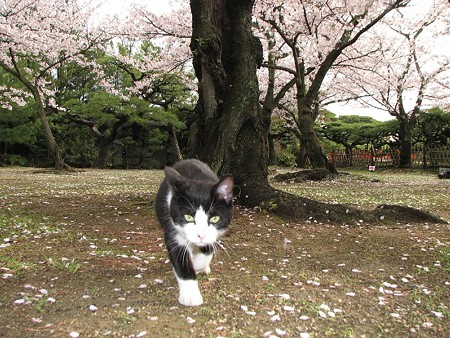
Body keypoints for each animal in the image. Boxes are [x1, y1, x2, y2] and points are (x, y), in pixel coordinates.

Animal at [155, 159, 234, 306]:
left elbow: (207, 251)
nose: (200, 235)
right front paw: (190, 296)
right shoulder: (172, 230)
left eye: (214, 218)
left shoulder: (213, 235)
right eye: (188, 217)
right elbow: (181, 259)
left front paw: (198, 266)